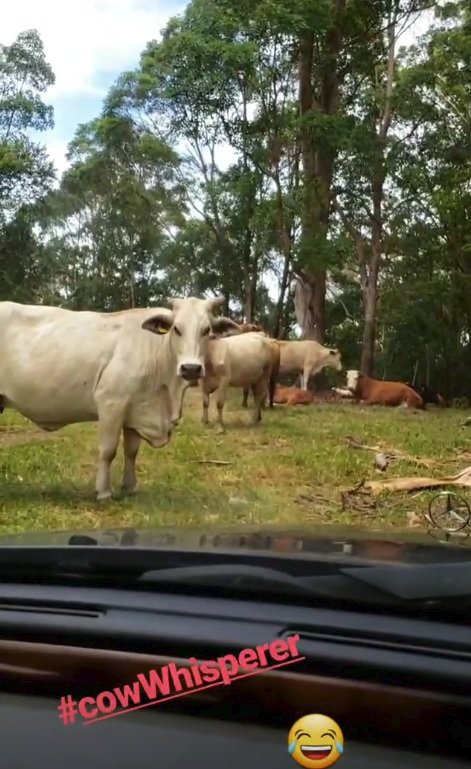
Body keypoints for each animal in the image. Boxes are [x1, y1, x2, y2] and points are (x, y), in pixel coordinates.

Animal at [0, 294, 238, 498]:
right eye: (176, 329)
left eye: (207, 330)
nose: (191, 369)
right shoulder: (111, 403)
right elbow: (108, 451)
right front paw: (104, 492)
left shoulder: (137, 408)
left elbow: (131, 452)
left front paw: (130, 487)